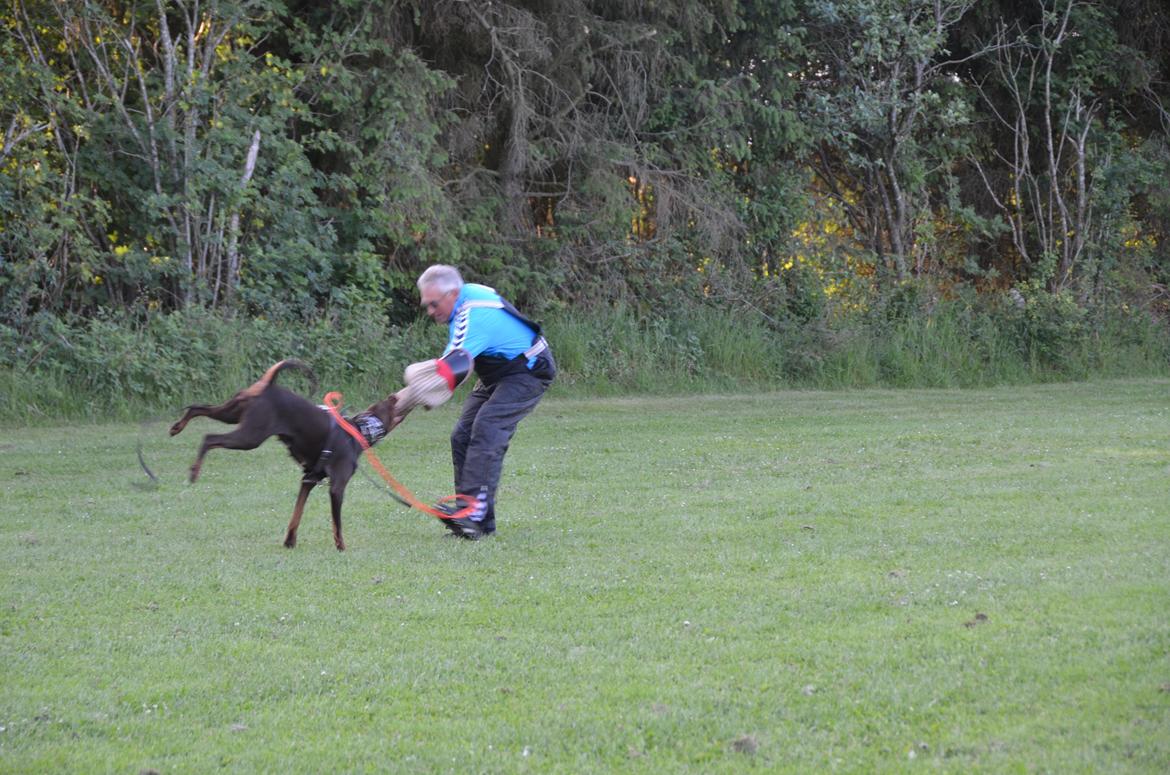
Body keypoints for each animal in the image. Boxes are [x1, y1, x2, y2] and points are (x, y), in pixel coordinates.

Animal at [167, 362, 400, 552]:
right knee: (209, 438)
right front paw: (341, 547)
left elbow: (296, 515)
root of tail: (269, 386)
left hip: (231, 414)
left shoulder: (308, 480)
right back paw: (194, 471)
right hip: (249, 437)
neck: (360, 431)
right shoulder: (337, 487)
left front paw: (290, 542)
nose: (395, 396)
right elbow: (337, 524)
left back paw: (177, 427)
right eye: (389, 405)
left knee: (197, 407)